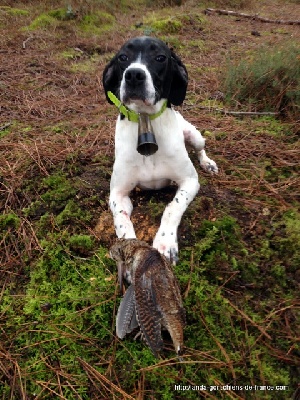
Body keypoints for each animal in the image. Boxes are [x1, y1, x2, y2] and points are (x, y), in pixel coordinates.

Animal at [103, 36, 218, 262]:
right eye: (123, 57)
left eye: (160, 57)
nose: (134, 75)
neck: (145, 121)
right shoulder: (117, 193)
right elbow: (122, 221)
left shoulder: (190, 181)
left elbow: (173, 207)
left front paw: (165, 242)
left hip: (195, 136)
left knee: (200, 149)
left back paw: (207, 163)